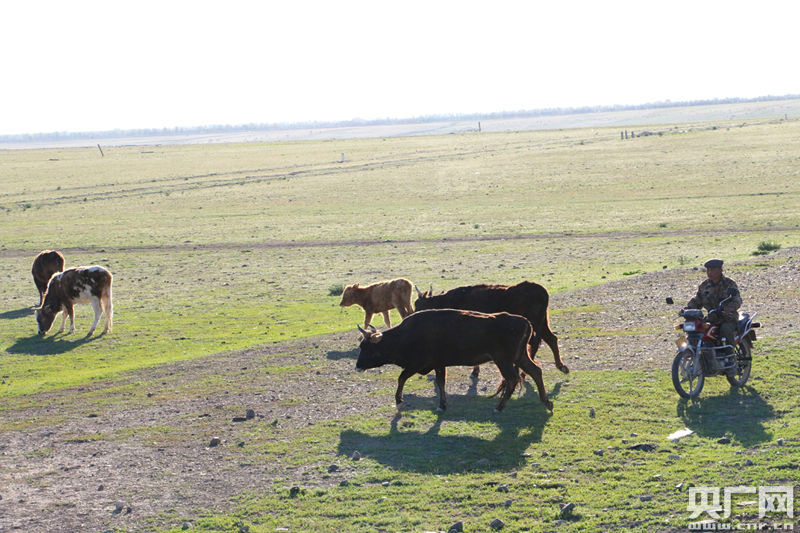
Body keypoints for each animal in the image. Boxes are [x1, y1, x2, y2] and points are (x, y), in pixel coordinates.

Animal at [355, 309, 553, 412]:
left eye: (367, 347)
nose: (357, 367)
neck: (407, 334)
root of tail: (525, 322)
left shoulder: (418, 364)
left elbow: (402, 377)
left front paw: (398, 399)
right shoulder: (439, 364)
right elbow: (441, 383)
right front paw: (442, 405)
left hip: (503, 360)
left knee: (512, 379)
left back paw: (499, 407)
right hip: (520, 357)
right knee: (535, 371)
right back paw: (546, 401)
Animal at [414, 281, 568, 376]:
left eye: (420, 306)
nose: (411, 316)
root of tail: (541, 291)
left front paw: (475, 371)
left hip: (537, 323)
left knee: (539, 342)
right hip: (542, 322)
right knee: (550, 339)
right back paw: (560, 366)